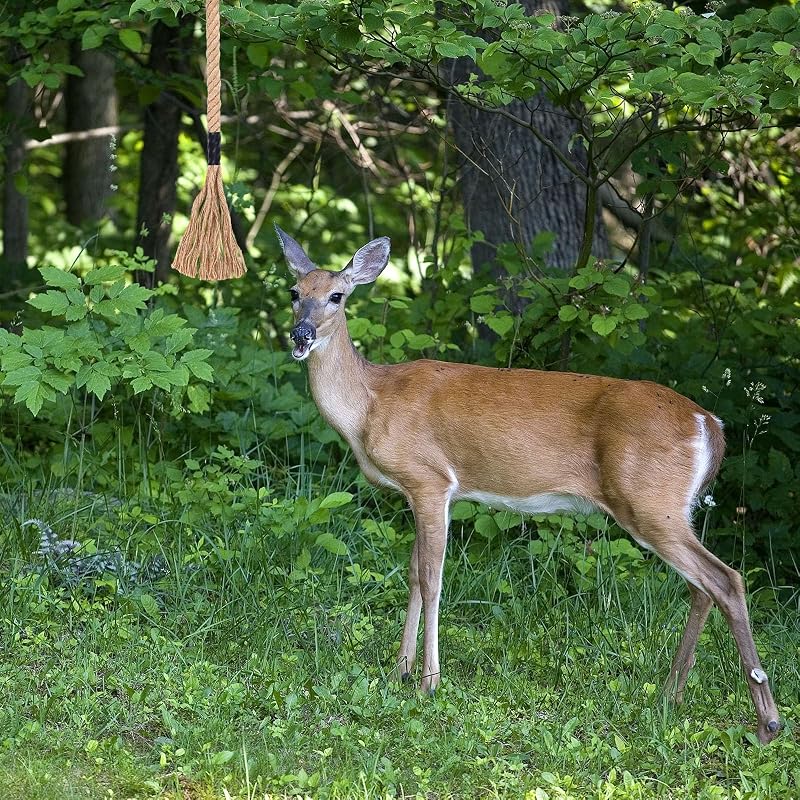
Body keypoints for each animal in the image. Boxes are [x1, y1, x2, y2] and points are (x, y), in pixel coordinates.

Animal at [275, 225, 781, 744]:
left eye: (337, 296)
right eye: (294, 292)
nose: (301, 334)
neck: (371, 406)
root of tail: (711, 424)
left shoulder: (430, 480)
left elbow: (433, 578)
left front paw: (428, 681)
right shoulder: (417, 493)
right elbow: (414, 574)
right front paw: (401, 669)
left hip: (648, 501)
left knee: (726, 579)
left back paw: (766, 721)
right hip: (669, 508)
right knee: (703, 587)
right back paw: (670, 696)